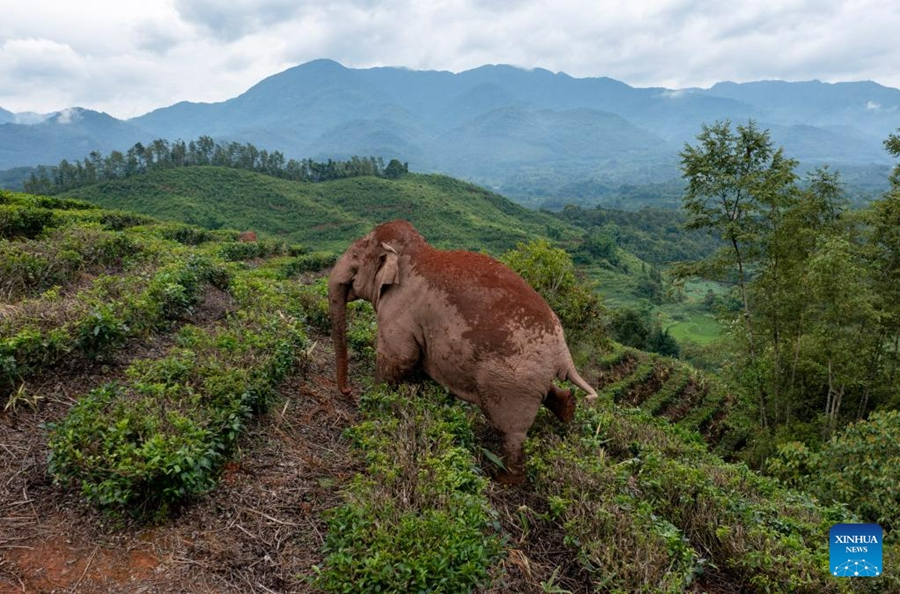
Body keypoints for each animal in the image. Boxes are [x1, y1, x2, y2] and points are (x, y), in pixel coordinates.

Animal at [326, 217, 596, 480]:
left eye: (355, 258)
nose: (349, 393)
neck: (414, 250)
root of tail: (562, 352)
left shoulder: (399, 310)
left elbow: (400, 357)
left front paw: (374, 403)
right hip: (529, 378)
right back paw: (568, 407)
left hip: (511, 381)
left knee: (511, 432)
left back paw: (503, 479)